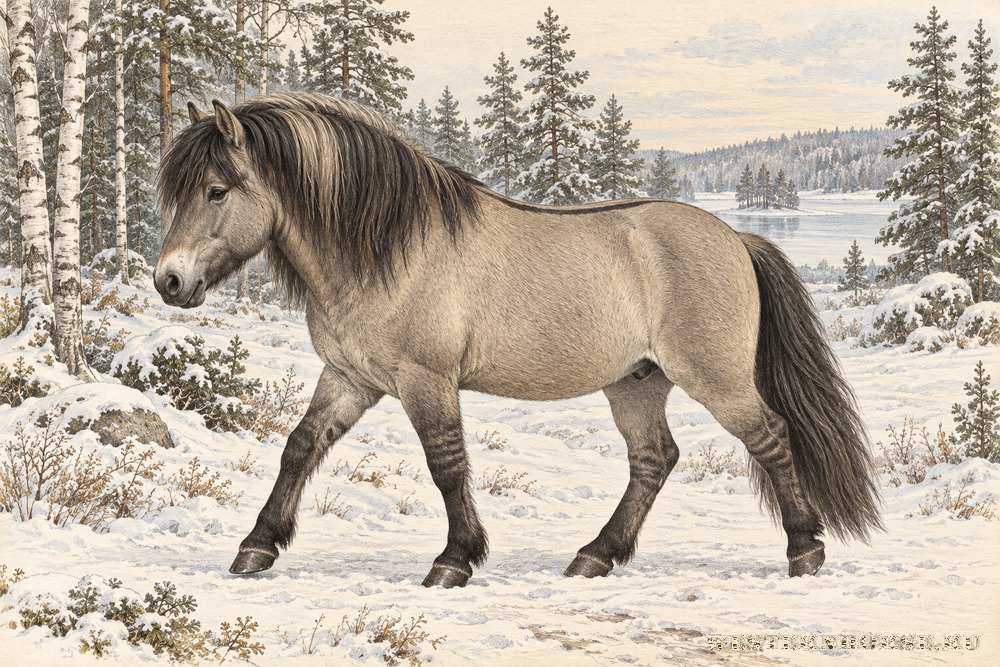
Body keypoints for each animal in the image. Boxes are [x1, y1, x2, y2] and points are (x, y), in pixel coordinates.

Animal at [154, 93, 882, 588]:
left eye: (216, 190)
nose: (169, 280)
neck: (388, 249)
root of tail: (735, 237)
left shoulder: (426, 379)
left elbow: (446, 463)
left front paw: (454, 559)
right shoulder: (350, 377)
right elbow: (300, 448)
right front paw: (257, 546)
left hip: (717, 379)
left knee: (772, 438)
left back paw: (804, 549)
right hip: (636, 381)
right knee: (654, 459)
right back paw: (595, 555)